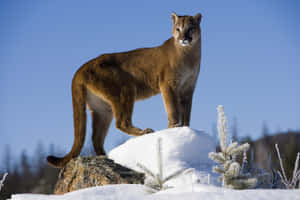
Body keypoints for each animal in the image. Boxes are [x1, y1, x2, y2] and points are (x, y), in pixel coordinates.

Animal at [47, 12, 202, 167]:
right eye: (178, 29)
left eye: (190, 29)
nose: (183, 38)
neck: (189, 55)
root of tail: (81, 68)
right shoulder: (168, 85)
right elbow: (173, 109)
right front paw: (174, 127)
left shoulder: (188, 89)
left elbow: (186, 112)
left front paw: (186, 129)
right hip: (125, 89)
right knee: (121, 122)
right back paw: (143, 132)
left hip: (102, 108)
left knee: (96, 137)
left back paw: (106, 157)